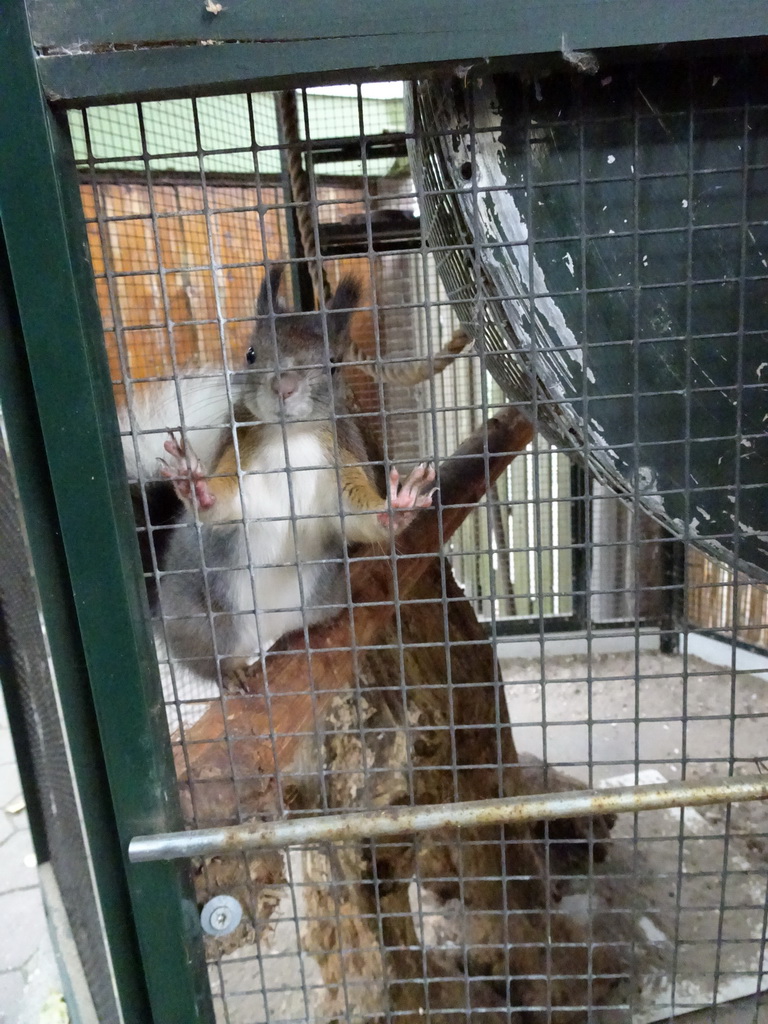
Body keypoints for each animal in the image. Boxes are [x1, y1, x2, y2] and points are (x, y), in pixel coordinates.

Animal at [126, 264, 438, 684]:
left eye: (334, 362)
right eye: (251, 353)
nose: (284, 386)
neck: (291, 436)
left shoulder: (341, 462)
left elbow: (356, 517)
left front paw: (398, 506)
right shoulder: (237, 456)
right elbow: (223, 507)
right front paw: (196, 487)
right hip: (205, 623)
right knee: (208, 660)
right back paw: (233, 672)